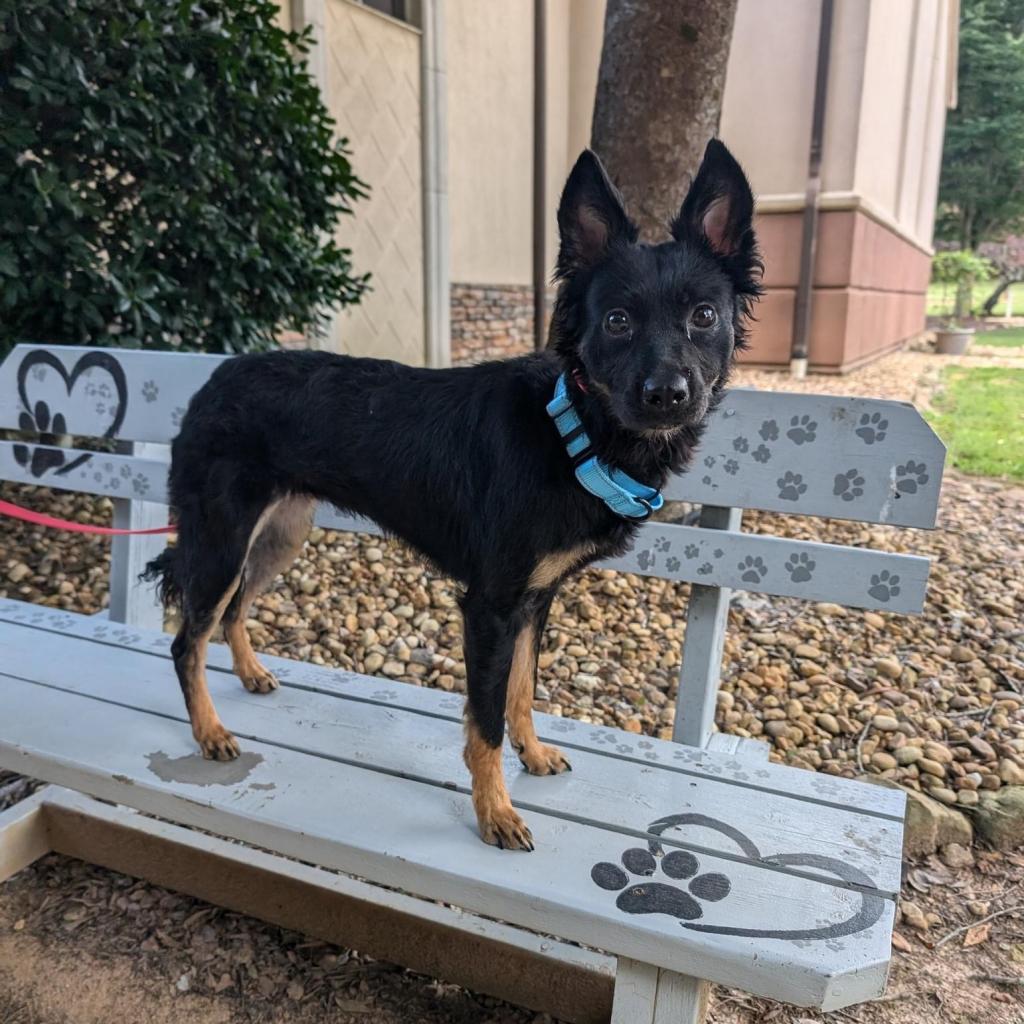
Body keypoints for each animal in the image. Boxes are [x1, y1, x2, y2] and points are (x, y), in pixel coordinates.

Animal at [148, 140, 765, 851]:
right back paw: (209, 732)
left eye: (704, 316)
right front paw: (495, 811)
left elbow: (522, 689)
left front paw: (533, 755)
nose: (668, 394)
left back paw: (248, 675)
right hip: (220, 538)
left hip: (280, 533)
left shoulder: (536, 597)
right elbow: (486, 719)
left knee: (233, 608)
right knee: (187, 641)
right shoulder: (491, 605)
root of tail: (213, 377)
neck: (571, 430)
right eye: (617, 321)